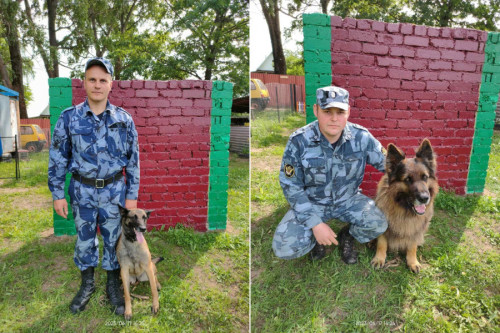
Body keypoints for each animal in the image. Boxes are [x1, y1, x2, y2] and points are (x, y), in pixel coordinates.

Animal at [372, 139, 438, 272]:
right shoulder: (383, 225)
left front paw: (412, 262)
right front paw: (379, 258)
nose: (424, 198)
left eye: (425, 177)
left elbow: (412, 246)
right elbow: (382, 243)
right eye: (407, 179)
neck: (404, 209)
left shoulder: (415, 228)